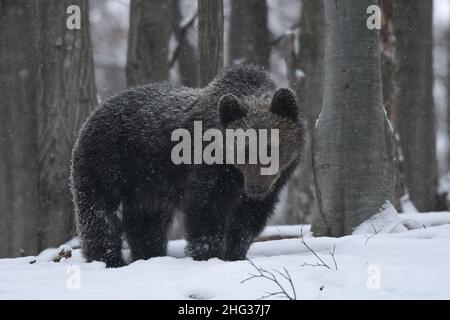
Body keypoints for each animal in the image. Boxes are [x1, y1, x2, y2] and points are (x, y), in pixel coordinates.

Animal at [70, 63, 304, 268]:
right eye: (244, 149)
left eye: (270, 148)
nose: (256, 187)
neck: (233, 174)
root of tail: (95, 111)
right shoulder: (206, 170)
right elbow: (205, 212)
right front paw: (209, 255)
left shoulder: (274, 184)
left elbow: (247, 221)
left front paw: (235, 254)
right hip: (105, 159)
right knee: (99, 211)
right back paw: (109, 260)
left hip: (146, 184)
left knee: (147, 222)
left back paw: (148, 255)